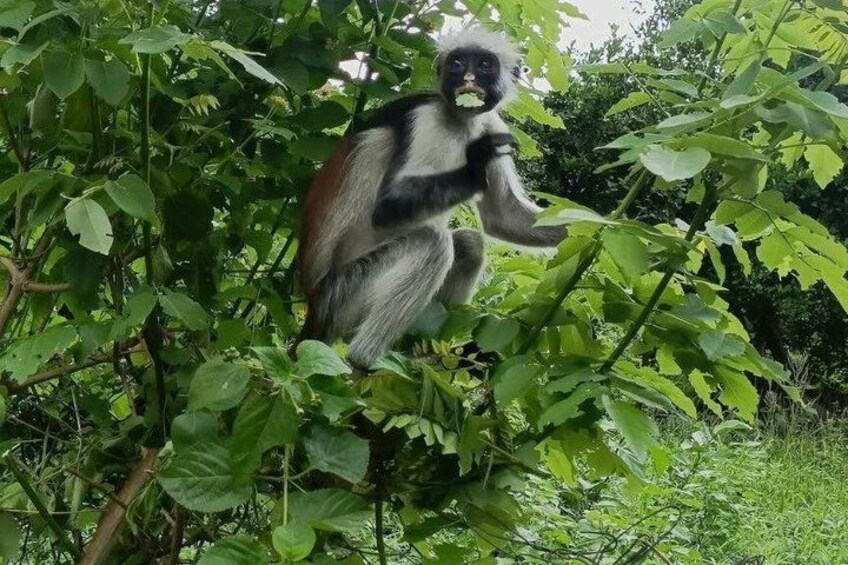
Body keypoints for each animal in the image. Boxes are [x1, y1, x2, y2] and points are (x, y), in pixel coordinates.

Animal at [297, 28, 565, 370]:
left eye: (485, 64)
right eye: (458, 62)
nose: (467, 77)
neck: (460, 121)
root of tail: (313, 305)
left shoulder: (491, 124)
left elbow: (502, 217)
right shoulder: (427, 119)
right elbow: (388, 207)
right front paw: (475, 166)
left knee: (469, 244)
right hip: (343, 293)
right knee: (432, 240)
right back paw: (364, 361)